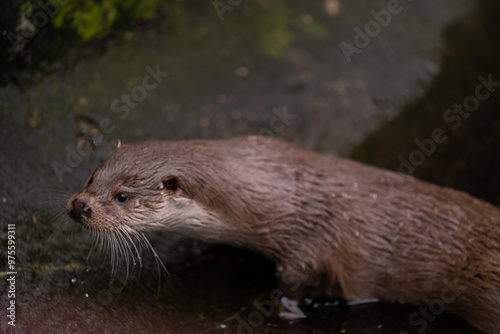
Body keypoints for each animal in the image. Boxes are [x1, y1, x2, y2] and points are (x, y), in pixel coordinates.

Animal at [67, 134, 500, 332]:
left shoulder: (309, 246)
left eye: (123, 196)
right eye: (91, 177)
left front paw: (282, 313)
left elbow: (296, 284)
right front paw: (220, 252)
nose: (80, 206)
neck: (281, 193)